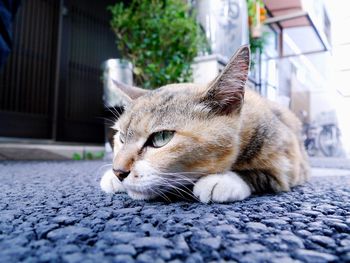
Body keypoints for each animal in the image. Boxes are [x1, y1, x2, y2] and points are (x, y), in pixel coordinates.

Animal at [100, 45, 308, 203]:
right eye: (121, 137)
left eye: (161, 137)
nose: (118, 172)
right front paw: (111, 178)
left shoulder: (288, 161)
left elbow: (261, 174)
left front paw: (222, 181)